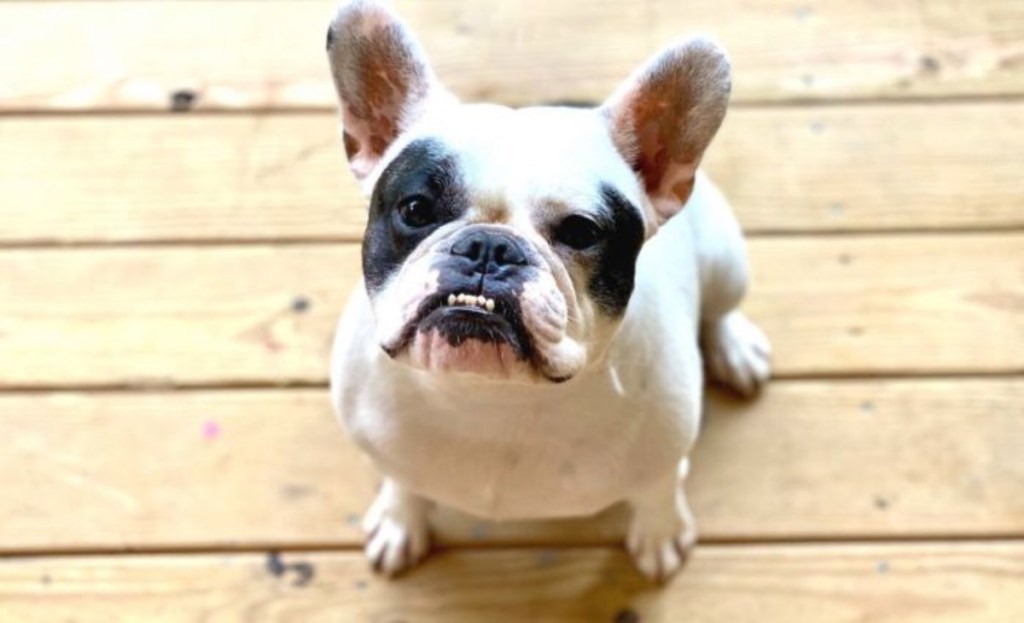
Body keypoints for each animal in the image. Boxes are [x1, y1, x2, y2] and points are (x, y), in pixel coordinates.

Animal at [325, 0, 770, 582]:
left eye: (581, 231)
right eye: (416, 209)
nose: (489, 248)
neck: (490, 395)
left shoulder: (664, 457)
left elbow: (659, 491)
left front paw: (660, 534)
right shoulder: (385, 449)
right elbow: (403, 481)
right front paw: (401, 520)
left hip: (724, 257)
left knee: (720, 309)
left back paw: (735, 348)